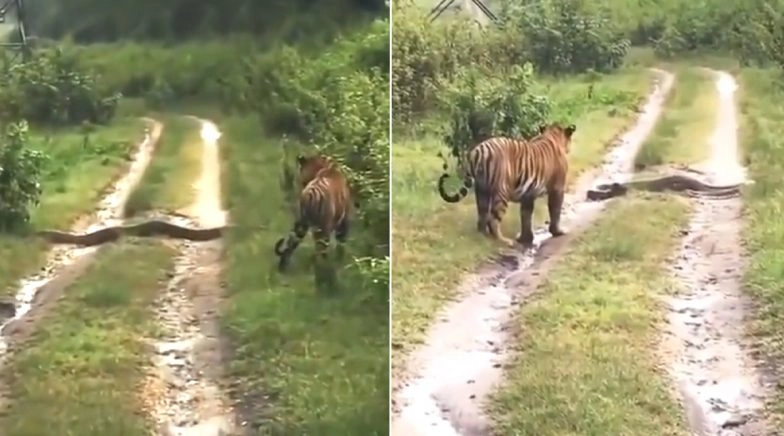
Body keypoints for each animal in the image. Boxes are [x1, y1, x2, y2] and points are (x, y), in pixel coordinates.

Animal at [437, 122, 577, 247]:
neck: (551, 136)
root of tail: (478, 152)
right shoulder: (557, 188)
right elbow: (555, 211)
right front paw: (557, 231)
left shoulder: (528, 194)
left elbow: (526, 216)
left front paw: (525, 238)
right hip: (501, 193)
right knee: (493, 220)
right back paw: (504, 241)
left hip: (482, 190)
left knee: (482, 215)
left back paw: (483, 236)